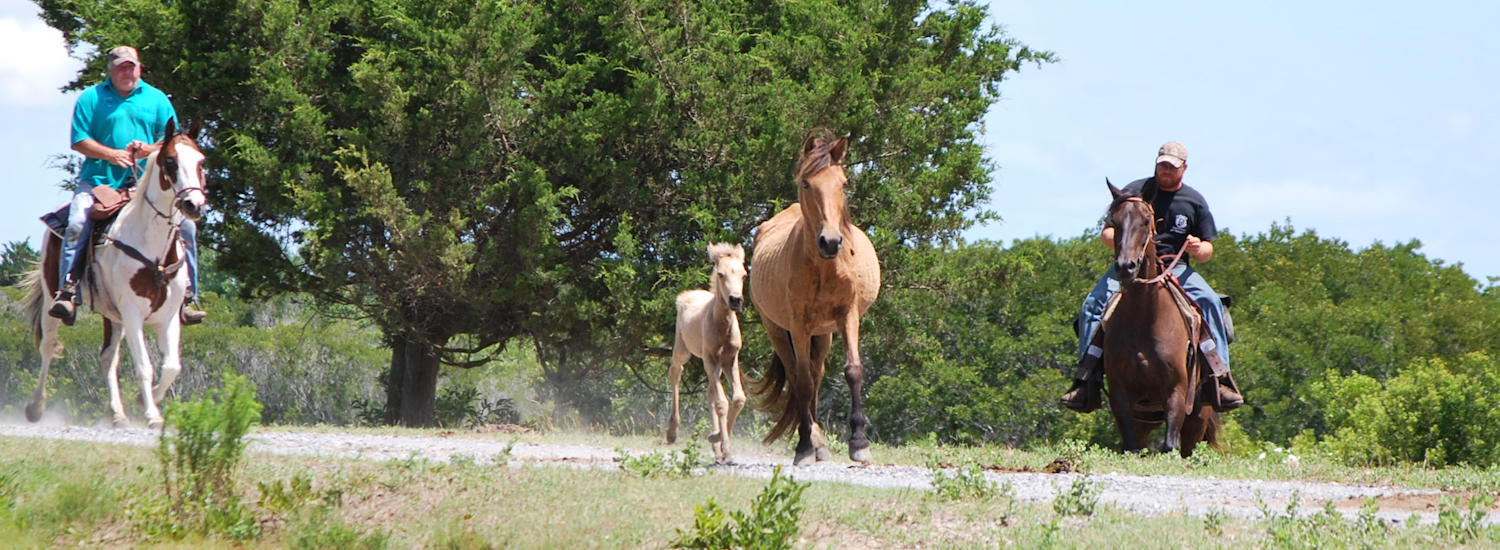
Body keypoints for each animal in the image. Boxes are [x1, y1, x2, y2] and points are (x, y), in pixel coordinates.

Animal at [22, 119, 208, 431]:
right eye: (171, 161)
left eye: (201, 161)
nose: (194, 204)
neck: (155, 252)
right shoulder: (133, 313)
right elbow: (145, 365)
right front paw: (152, 414)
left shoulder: (168, 316)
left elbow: (172, 366)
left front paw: (143, 402)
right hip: (51, 299)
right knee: (48, 347)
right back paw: (35, 407)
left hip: (113, 315)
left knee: (108, 357)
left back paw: (118, 413)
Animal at [669, 242, 750, 464]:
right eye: (721, 274)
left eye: (744, 274)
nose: (735, 300)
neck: (722, 328)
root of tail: (685, 295)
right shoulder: (710, 359)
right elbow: (722, 402)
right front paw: (724, 447)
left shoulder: (730, 359)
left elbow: (738, 398)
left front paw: (718, 441)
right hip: (683, 348)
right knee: (675, 371)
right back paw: (672, 432)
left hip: (717, 365)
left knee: (709, 393)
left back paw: (714, 447)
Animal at [750, 131, 876, 467]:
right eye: (807, 183)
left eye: (843, 183)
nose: (830, 242)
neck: (825, 267)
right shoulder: (799, 325)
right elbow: (802, 382)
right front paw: (804, 446)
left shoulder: (847, 316)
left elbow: (853, 371)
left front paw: (859, 443)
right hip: (778, 330)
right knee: (799, 377)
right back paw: (812, 440)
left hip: (824, 333)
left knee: (817, 375)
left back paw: (820, 441)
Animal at [1104, 179, 1218, 455]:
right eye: (1114, 220)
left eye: (1146, 220)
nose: (1126, 267)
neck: (1143, 319)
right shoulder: (1120, 394)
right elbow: (1131, 447)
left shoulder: (1176, 391)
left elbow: (1169, 445)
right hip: (1144, 418)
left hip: (1198, 417)